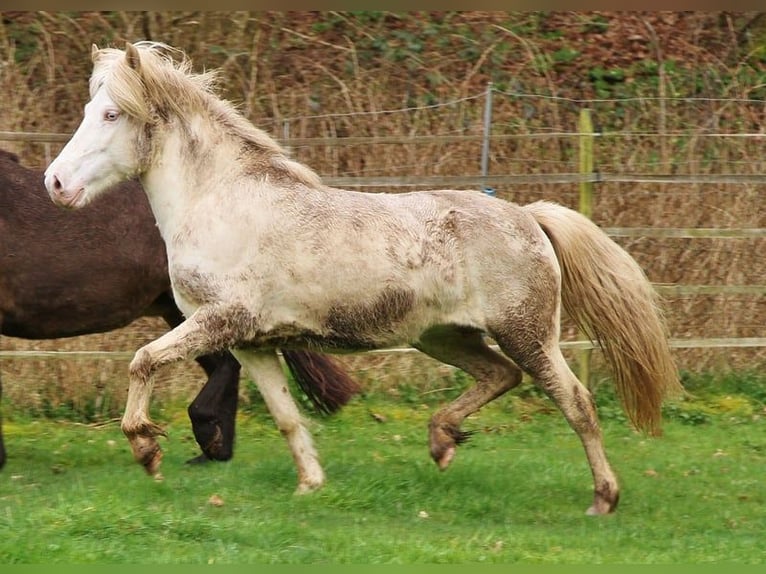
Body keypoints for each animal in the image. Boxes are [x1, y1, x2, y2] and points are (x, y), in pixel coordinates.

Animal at [45, 42, 680, 516]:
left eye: (111, 114)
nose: (55, 183)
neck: (222, 202)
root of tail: (529, 215)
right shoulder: (252, 343)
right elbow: (286, 417)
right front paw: (310, 487)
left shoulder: (221, 319)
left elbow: (142, 361)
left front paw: (146, 449)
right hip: (444, 337)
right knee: (499, 375)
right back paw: (441, 441)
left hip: (528, 334)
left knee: (575, 402)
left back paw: (603, 498)